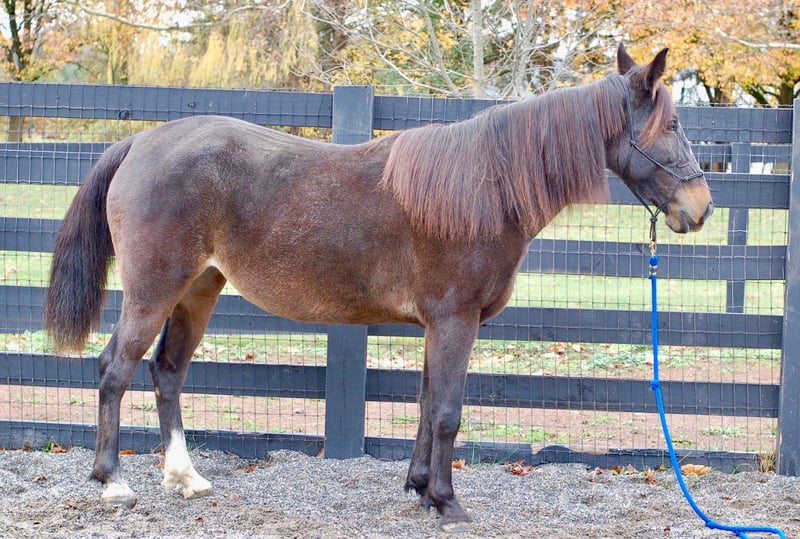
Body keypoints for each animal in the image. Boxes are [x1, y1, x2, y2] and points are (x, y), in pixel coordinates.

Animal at [44, 43, 713, 532]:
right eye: (674, 122)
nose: (701, 208)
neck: (484, 187)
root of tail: (141, 141)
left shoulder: (438, 326)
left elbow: (424, 404)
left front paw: (420, 490)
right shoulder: (455, 321)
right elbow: (446, 413)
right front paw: (448, 502)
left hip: (198, 290)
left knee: (168, 372)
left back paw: (185, 478)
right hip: (154, 290)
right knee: (114, 369)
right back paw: (113, 483)